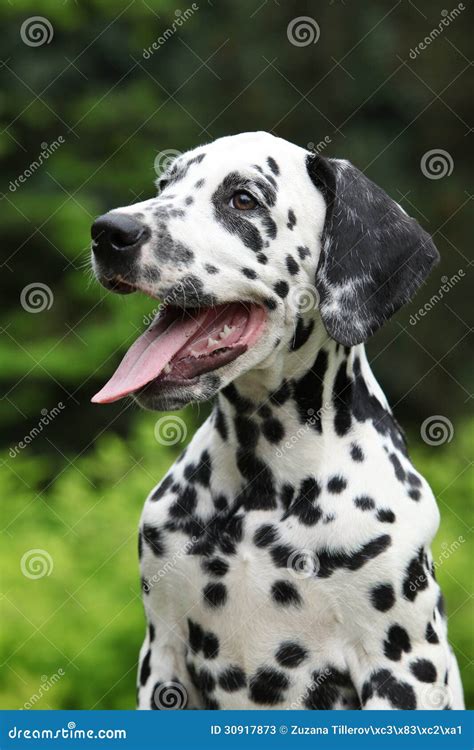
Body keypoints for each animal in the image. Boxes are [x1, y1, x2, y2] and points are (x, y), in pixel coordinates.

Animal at [90, 132, 464, 712]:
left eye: (243, 198)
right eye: (165, 183)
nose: (109, 232)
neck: (263, 488)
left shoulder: (400, 668)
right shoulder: (163, 659)